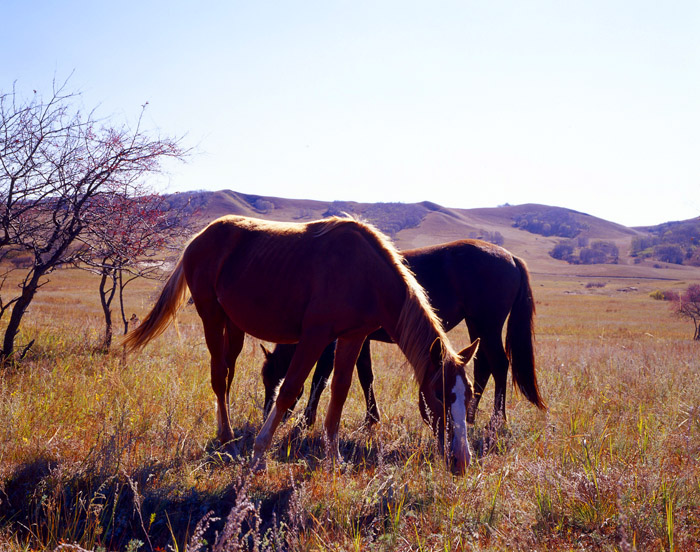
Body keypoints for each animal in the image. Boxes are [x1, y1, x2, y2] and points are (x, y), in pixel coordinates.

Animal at [123, 216, 478, 474]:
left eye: (469, 395)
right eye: (438, 394)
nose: (461, 461)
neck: (365, 272)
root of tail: (199, 238)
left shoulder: (352, 337)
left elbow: (339, 391)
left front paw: (334, 458)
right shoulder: (315, 335)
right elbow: (290, 388)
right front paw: (259, 455)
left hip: (233, 326)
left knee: (227, 374)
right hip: (211, 315)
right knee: (219, 376)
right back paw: (228, 441)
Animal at [262, 240, 548, 432]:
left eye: (273, 379)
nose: (267, 414)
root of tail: (511, 257)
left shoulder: (333, 339)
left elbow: (320, 378)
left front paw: (306, 420)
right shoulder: (360, 339)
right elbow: (365, 375)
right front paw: (371, 418)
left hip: (487, 325)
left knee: (499, 366)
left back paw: (496, 421)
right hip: (477, 325)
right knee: (483, 367)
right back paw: (470, 415)